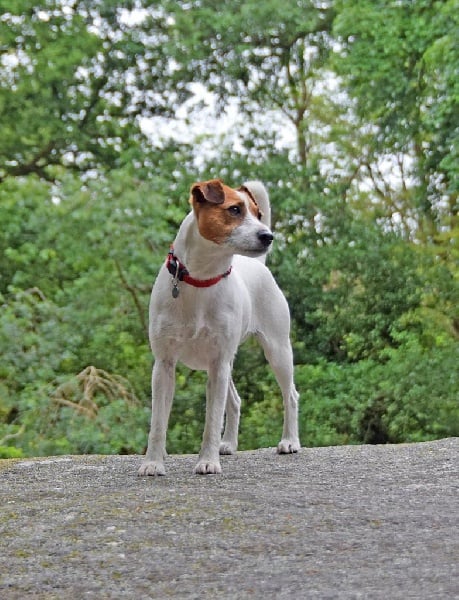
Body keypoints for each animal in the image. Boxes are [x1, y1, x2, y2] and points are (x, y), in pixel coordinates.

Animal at [138, 177, 300, 474]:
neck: (201, 281)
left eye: (257, 214)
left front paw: (207, 461)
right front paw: (153, 462)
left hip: (277, 350)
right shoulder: (165, 365)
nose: (268, 236)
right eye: (234, 210)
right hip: (226, 364)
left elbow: (212, 420)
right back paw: (229, 444)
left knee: (290, 395)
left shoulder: (218, 363)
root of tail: (259, 265)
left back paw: (290, 441)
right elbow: (158, 423)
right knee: (235, 401)